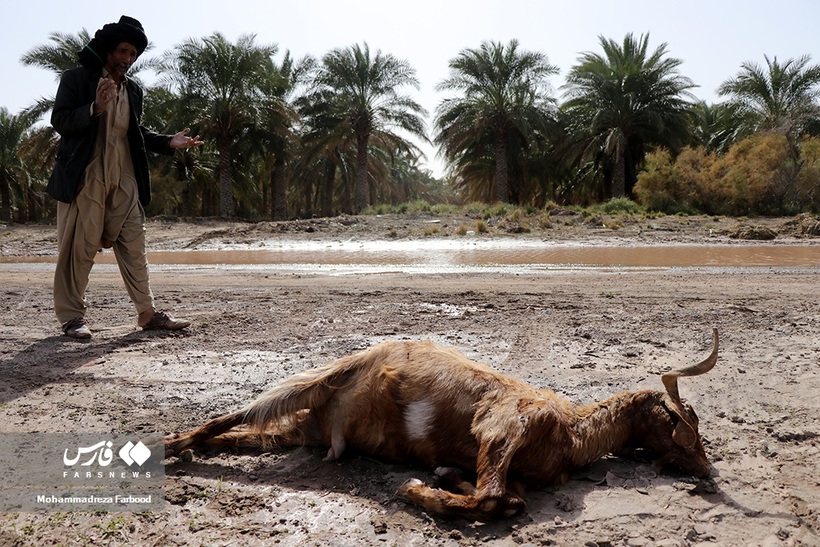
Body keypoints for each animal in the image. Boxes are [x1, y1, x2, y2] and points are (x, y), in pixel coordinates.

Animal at [165, 328, 716, 520]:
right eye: (681, 423)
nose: (709, 474)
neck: (572, 432)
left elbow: (507, 499)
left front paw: (444, 478)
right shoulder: (502, 427)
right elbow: (492, 498)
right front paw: (417, 488)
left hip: (305, 429)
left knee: (248, 434)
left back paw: (188, 448)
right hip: (324, 377)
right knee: (238, 413)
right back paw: (171, 444)